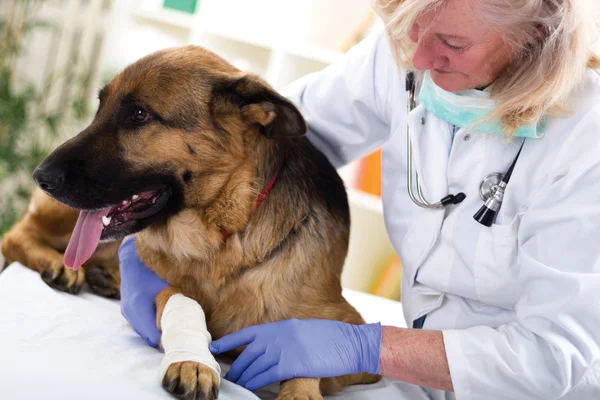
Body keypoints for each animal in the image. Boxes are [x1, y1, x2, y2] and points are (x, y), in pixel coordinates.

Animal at [16, 45, 380, 398]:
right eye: (100, 107)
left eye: (138, 114)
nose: (39, 176)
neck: (223, 241)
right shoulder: (163, 283)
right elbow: (182, 301)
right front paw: (194, 362)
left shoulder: (352, 341)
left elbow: (308, 357)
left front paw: (298, 392)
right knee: (19, 234)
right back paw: (60, 266)